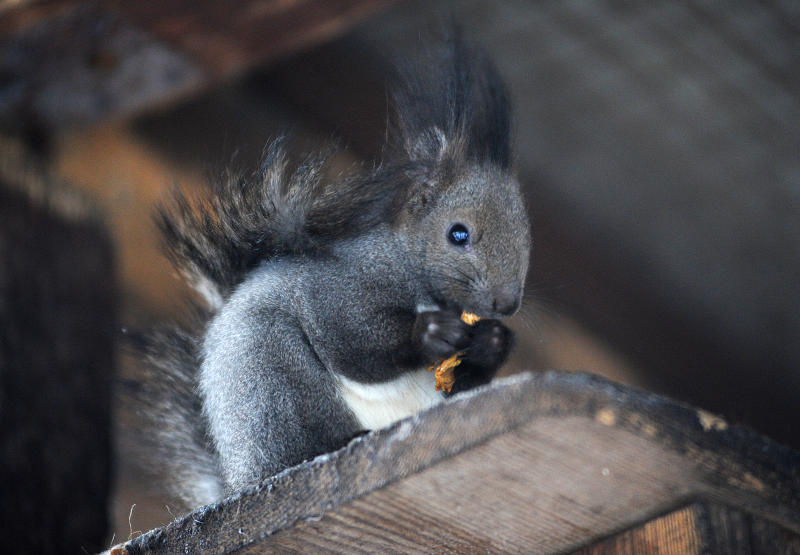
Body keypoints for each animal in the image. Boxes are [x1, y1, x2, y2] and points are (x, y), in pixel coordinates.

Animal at [138, 35, 532, 512]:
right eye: (458, 234)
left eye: (527, 234)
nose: (506, 303)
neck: (413, 273)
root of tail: (236, 479)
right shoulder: (338, 286)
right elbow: (350, 340)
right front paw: (429, 332)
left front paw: (493, 340)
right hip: (273, 377)